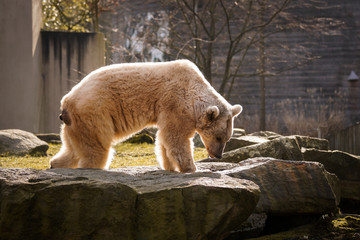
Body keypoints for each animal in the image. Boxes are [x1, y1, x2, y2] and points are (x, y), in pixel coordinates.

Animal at [50, 60, 242, 172]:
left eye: (227, 138)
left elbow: (165, 139)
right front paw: (191, 168)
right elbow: (176, 138)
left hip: (75, 124)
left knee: (73, 149)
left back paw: (55, 165)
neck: (194, 88)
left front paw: (170, 167)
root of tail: (66, 104)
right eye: (218, 137)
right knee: (97, 149)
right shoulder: (175, 102)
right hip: (94, 113)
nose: (218, 155)